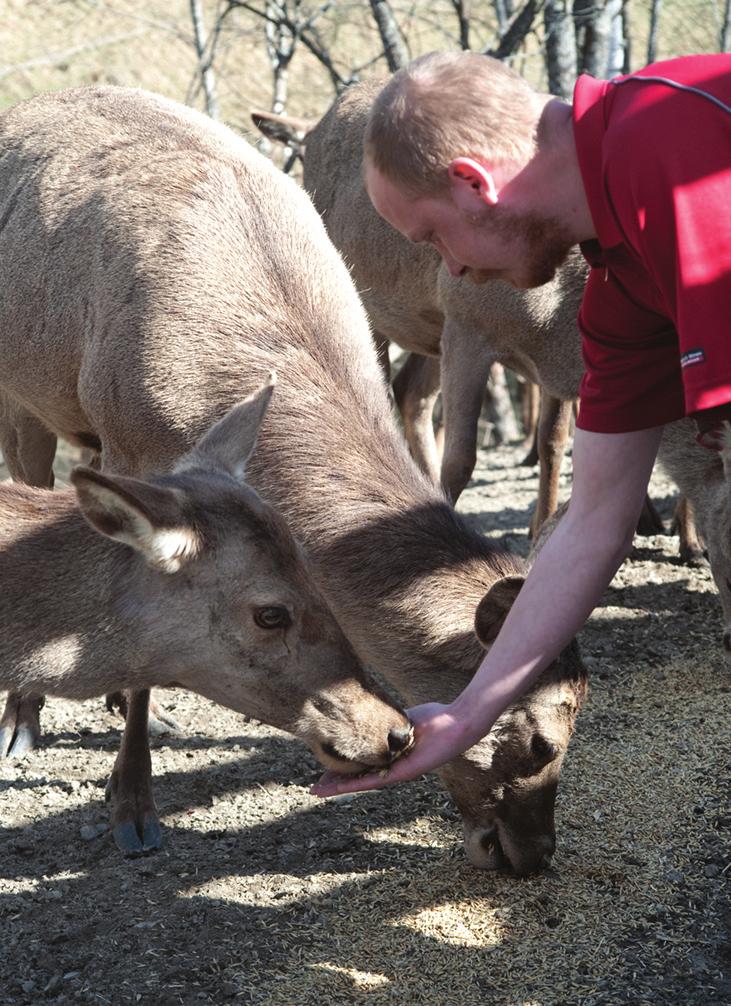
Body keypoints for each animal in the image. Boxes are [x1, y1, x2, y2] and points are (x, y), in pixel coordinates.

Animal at [0, 84, 587, 873]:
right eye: (541, 741)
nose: (532, 854)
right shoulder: (126, 443)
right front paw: (133, 808)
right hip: (27, 388)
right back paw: (24, 718)